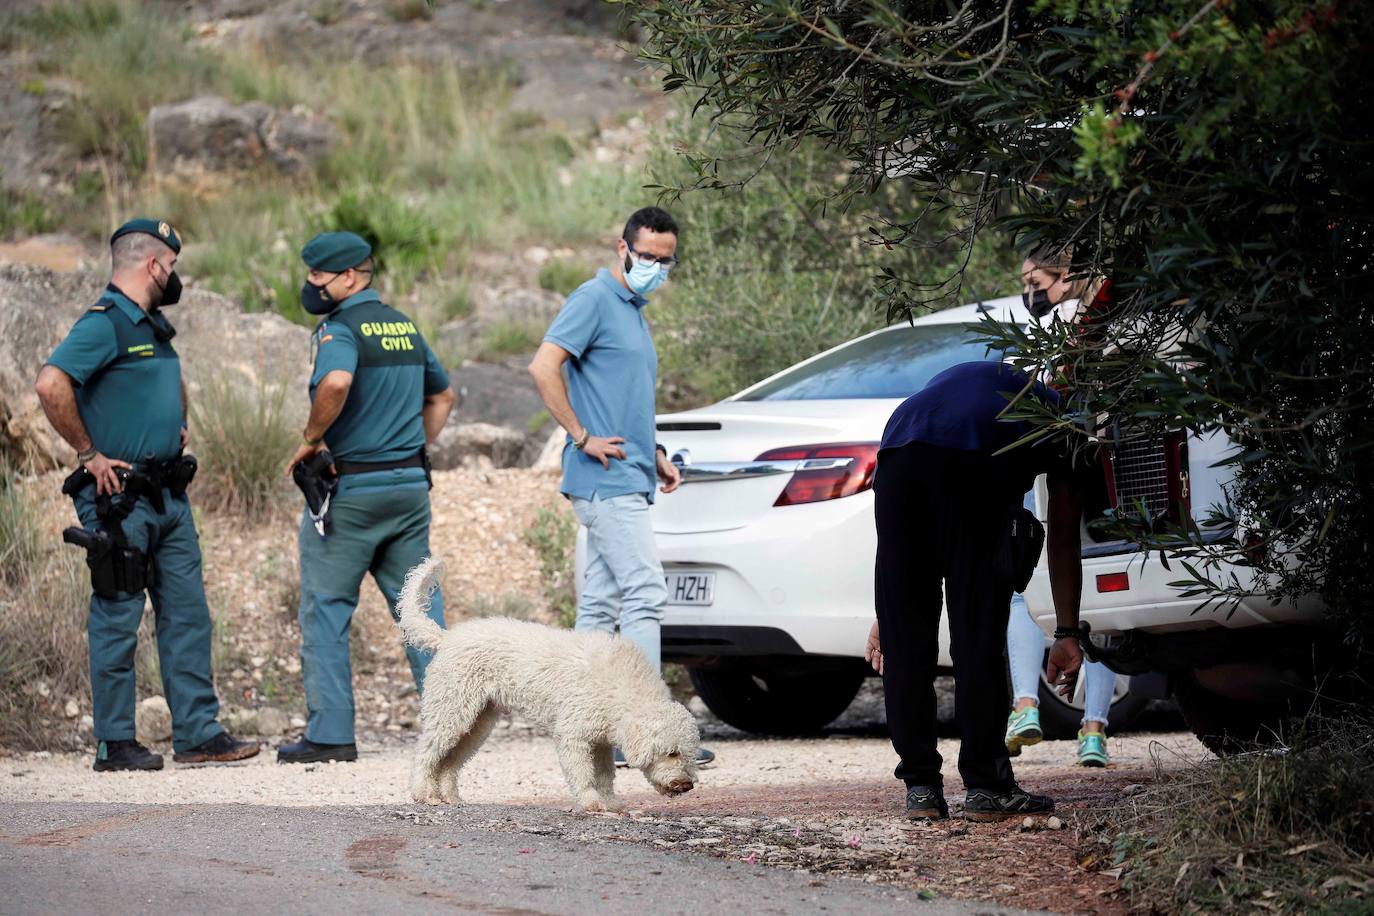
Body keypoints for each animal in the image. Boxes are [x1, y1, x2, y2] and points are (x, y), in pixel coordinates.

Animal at [395, 554, 697, 813]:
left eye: (690, 755)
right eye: (671, 753)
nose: (687, 785)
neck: (621, 686)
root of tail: (447, 638)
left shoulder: (600, 743)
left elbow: (605, 776)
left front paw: (611, 803)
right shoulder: (574, 736)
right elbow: (583, 775)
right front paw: (591, 802)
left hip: (477, 723)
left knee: (449, 763)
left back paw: (449, 796)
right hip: (451, 713)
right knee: (425, 754)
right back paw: (423, 794)